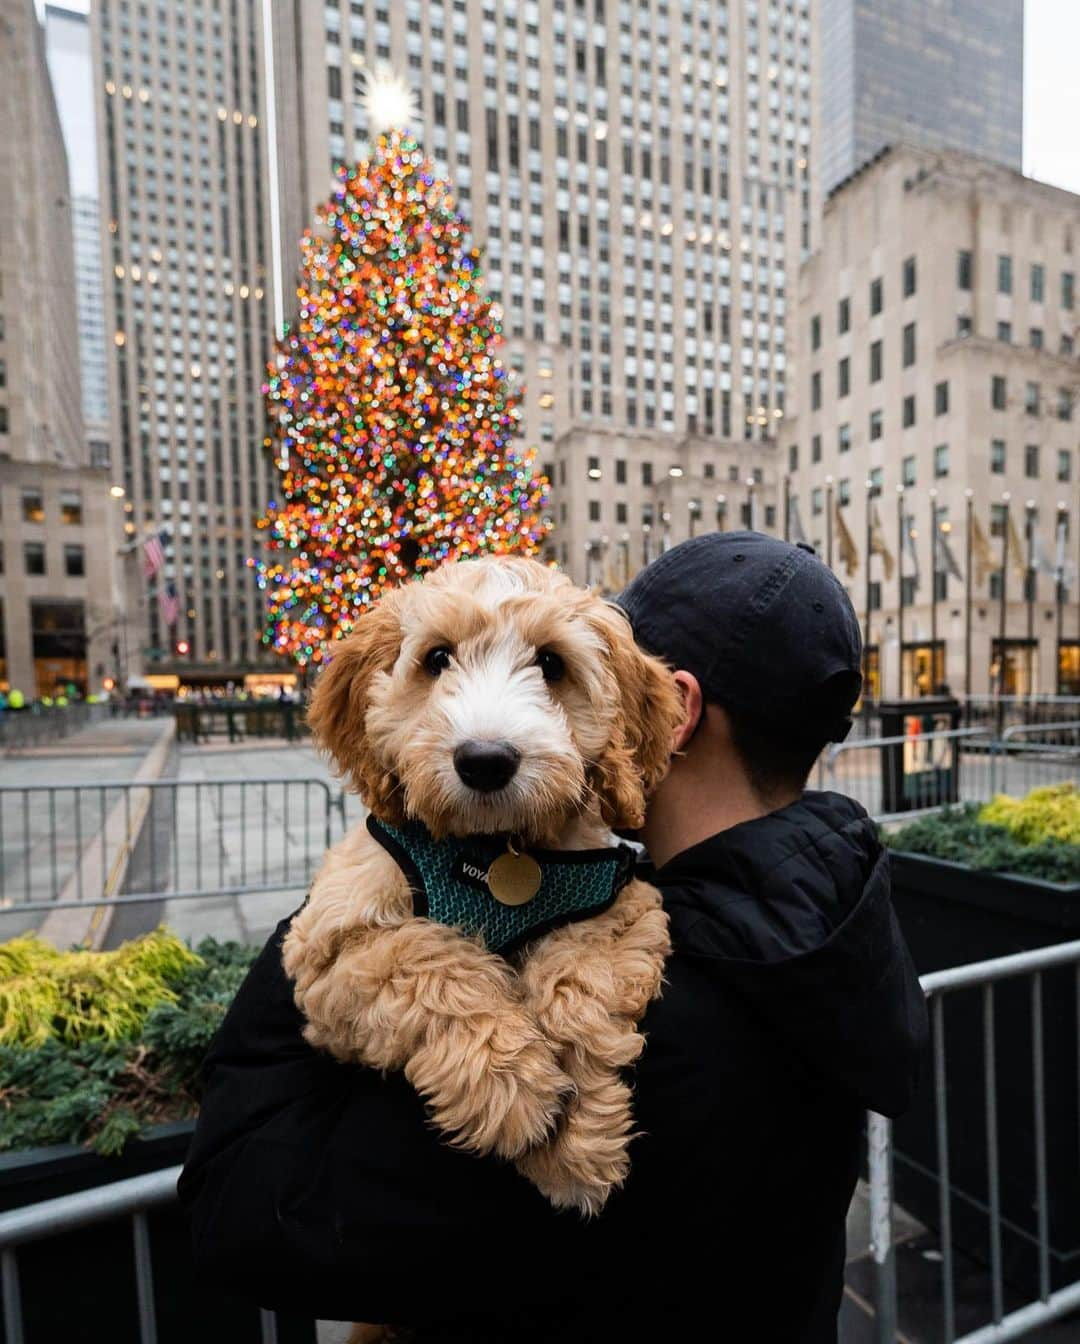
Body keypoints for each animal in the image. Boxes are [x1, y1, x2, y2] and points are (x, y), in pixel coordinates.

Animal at [282, 553, 679, 1220]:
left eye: (552, 663)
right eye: (437, 658)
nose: (486, 760)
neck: (495, 851)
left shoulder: (617, 897)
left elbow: (580, 976)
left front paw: (578, 1136)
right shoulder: (329, 945)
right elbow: (424, 956)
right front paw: (510, 1084)